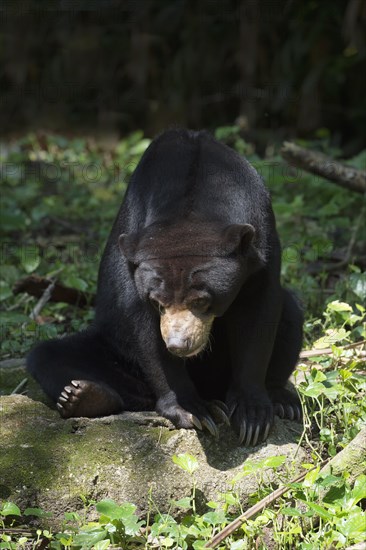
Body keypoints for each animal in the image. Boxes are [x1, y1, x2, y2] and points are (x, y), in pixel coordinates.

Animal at [26, 130, 304, 448]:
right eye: (158, 302)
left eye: (202, 301)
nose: (178, 345)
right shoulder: (136, 251)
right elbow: (142, 324)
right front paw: (195, 411)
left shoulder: (260, 238)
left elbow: (259, 310)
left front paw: (252, 417)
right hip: (116, 348)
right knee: (48, 355)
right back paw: (83, 396)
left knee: (291, 311)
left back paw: (283, 400)